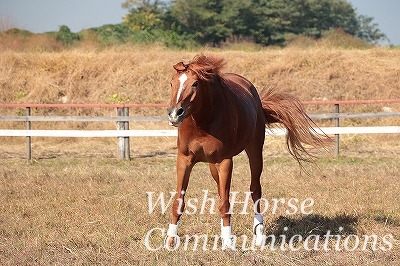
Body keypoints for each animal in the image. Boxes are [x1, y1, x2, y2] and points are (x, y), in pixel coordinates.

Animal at [166, 54, 332, 249]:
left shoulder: (225, 161)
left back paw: (259, 236)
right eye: (172, 83)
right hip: (213, 165)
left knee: (255, 190)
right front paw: (170, 240)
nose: (174, 113)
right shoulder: (184, 160)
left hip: (254, 151)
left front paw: (228, 242)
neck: (202, 122)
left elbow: (225, 203)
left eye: (195, 83)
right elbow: (179, 201)